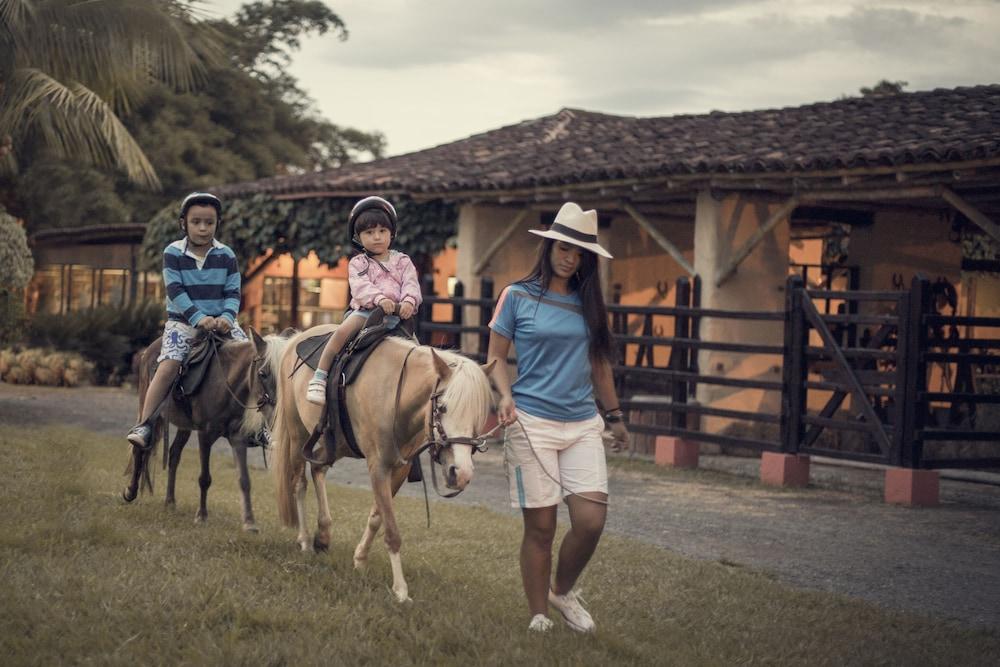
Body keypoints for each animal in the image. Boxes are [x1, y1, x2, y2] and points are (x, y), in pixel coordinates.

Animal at [123, 328, 292, 532]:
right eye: (262, 373)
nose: (278, 415)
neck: (226, 383)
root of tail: (147, 351)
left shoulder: (238, 437)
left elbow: (244, 479)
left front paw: (249, 522)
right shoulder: (205, 434)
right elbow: (204, 478)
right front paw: (201, 515)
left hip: (184, 426)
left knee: (174, 454)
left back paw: (170, 502)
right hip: (148, 408)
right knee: (139, 448)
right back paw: (131, 491)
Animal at [272, 324, 494, 604]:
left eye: (479, 416)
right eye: (442, 407)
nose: (461, 474)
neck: (394, 394)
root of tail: (297, 338)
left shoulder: (399, 468)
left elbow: (378, 518)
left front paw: (360, 559)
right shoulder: (378, 466)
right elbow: (391, 530)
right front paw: (401, 590)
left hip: (335, 442)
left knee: (318, 468)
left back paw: (323, 534)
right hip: (297, 432)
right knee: (298, 483)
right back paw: (304, 540)